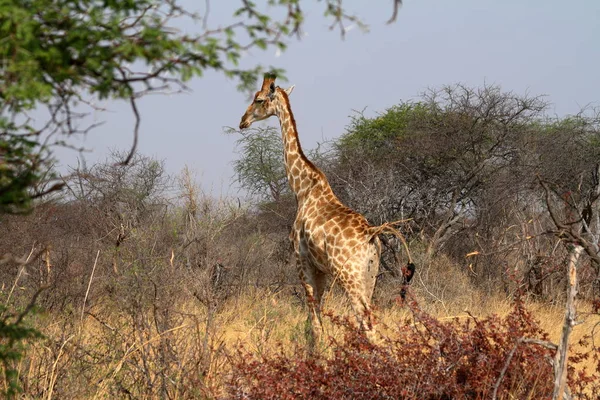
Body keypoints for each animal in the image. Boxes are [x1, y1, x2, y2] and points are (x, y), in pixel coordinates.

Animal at [238, 73, 412, 342]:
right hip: (369, 276)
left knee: (368, 326)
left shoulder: (302, 261)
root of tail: (372, 233)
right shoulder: (322, 270)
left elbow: (315, 325)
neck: (302, 189)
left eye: (258, 99)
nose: (242, 121)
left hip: (349, 275)